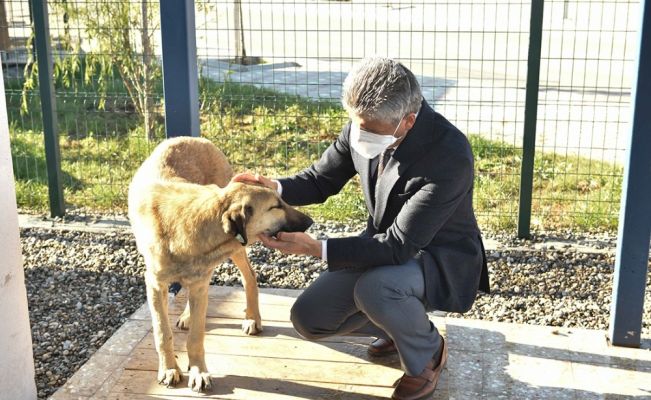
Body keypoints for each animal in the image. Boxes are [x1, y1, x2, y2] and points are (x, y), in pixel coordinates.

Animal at [129, 137, 314, 390]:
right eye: (276, 206)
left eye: (282, 201)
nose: (310, 221)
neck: (189, 224)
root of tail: (196, 139)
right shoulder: (156, 286)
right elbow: (162, 333)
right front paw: (169, 368)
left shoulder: (199, 280)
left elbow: (196, 337)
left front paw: (198, 370)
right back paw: (188, 316)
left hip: (235, 250)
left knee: (250, 276)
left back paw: (252, 318)